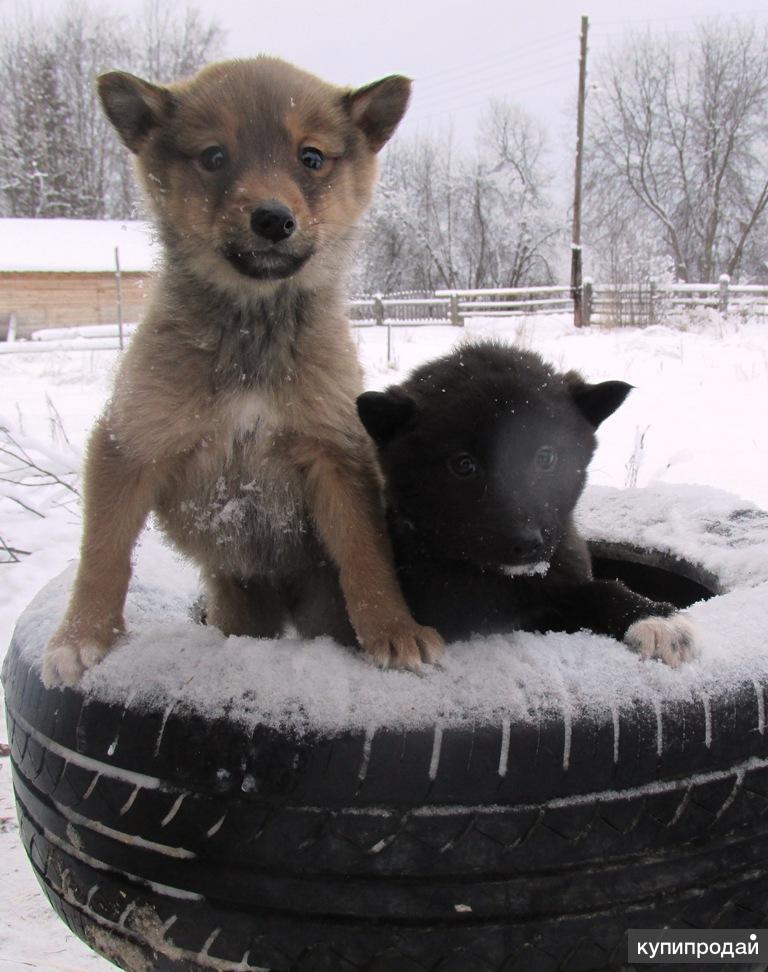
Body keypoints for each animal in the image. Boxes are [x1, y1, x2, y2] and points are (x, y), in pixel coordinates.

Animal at [42, 57, 440, 688]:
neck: (253, 331)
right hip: (236, 602)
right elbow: (102, 552)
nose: (273, 219)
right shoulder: (129, 442)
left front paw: (393, 630)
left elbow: (366, 552)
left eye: (310, 157)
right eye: (213, 156)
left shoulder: (336, 450)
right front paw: (81, 638)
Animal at [356, 342, 700, 668]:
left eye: (546, 457)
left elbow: (600, 589)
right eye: (463, 465)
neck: (500, 581)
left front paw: (656, 619)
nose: (526, 543)